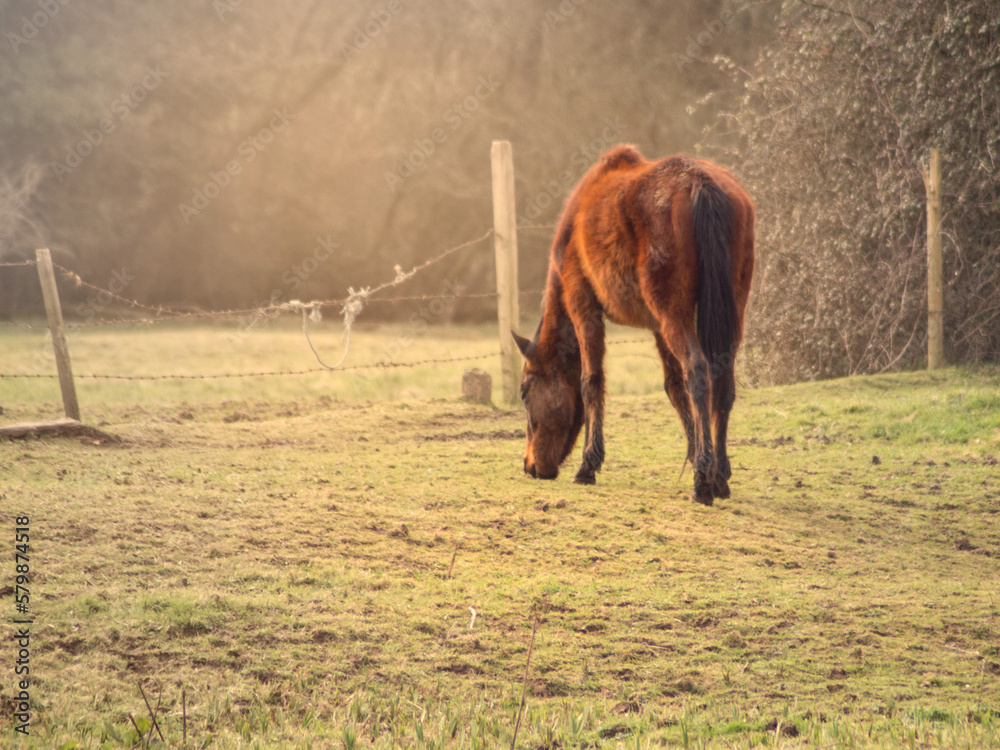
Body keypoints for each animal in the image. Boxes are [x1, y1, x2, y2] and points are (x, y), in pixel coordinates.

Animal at [511, 145, 754, 505]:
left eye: (525, 392)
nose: (530, 465)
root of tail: (701, 181)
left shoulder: (584, 306)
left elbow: (591, 382)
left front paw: (588, 465)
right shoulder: (657, 327)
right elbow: (674, 388)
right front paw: (698, 454)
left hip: (674, 314)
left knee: (698, 371)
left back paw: (702, 482)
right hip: (727, 310)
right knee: (722, 381)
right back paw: (719, 476)